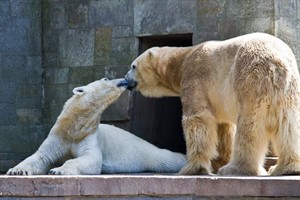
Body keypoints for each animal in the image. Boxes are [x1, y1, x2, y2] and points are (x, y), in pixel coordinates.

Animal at [6, 78, 185, 175]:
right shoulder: (58, 136)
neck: (74, 128)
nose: (125, 80)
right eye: (105, 79)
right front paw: (17, 170)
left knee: (166, 159)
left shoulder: (90, 137)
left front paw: (58, 170)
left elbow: (90, 158)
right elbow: (41, 156)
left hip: (146, 152)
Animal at [125, 32, 300, 175]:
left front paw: (193, 168)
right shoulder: (217, 100)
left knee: (250, 125)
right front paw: (218, 161)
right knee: (289, 126)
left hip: (250, 78)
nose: (126, 79)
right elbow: (223, 127)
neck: (181, 60)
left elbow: (197, 118)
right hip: (288, 91)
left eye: (133, 66)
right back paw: (286, 168)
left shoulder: (194, 76)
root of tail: (277, 63)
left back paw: (236, 169)